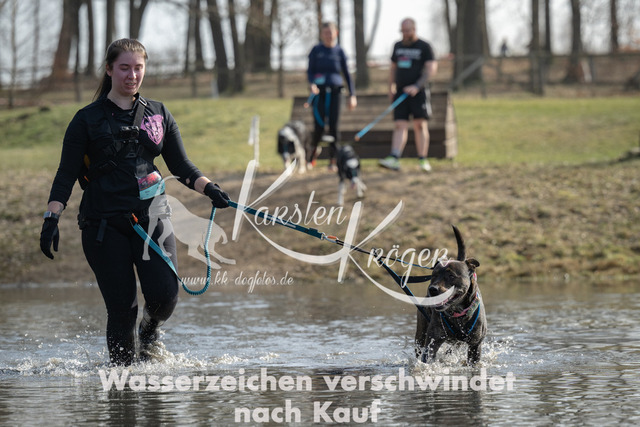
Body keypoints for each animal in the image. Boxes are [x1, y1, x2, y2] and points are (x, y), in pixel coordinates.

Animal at [415, 225, 486, 365]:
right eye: (434, 276)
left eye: (451, 275)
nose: (432, 289)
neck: (457, 313)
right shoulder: (432, 343)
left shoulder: (475, 346)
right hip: (420, 335)